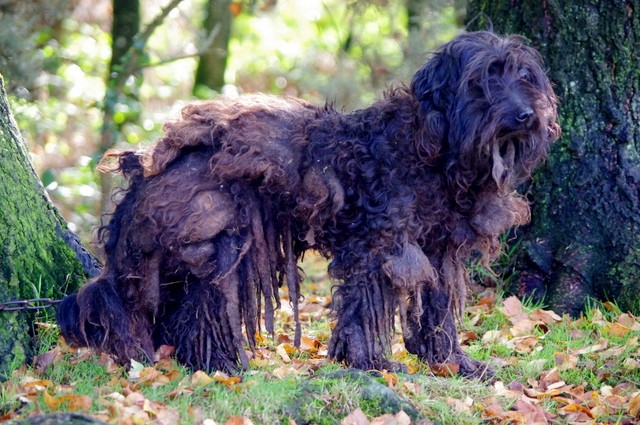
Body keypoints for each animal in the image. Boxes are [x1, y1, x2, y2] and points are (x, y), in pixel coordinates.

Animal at [60, 32, 560, 378]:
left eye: (524, 77)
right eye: (481, 80)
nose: (525, 116)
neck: (428, 147)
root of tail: (149, 161)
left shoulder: (436, 250)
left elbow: (438, 311)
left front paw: (454, 362)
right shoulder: (378, 246)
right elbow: (363, 311)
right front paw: (371, 365)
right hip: (217, 239)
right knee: (204, 310)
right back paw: (222, 366)